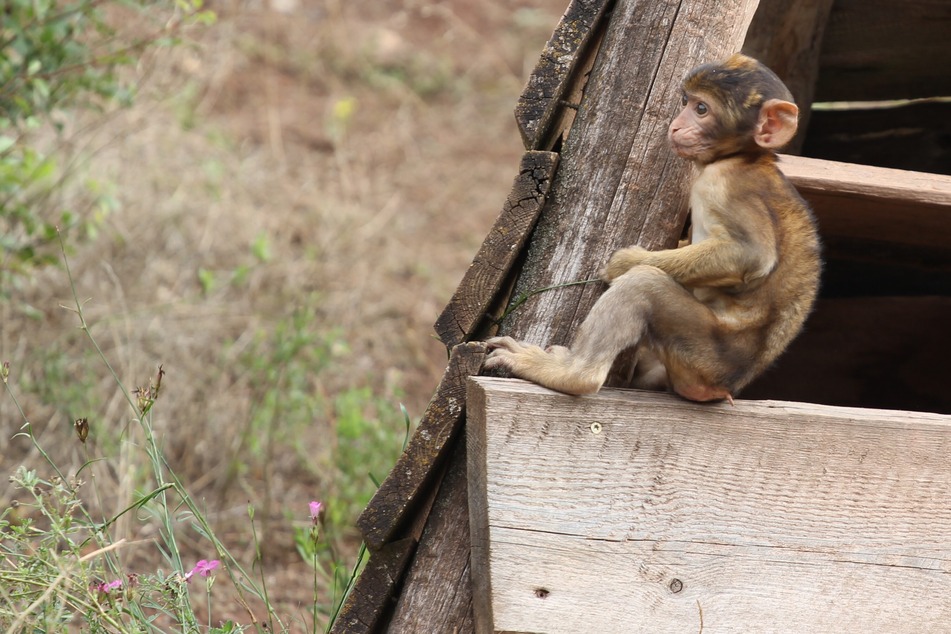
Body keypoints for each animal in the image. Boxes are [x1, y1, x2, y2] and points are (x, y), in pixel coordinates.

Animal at [488, 53, 820, 400]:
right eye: (687, 101)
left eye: (702, 109)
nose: (676, 124)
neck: (744, 157)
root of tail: (723, 386)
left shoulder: (726, 185)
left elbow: (750, 255)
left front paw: (624, 262)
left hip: (703, 354)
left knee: (643, 286)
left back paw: (572, 375)